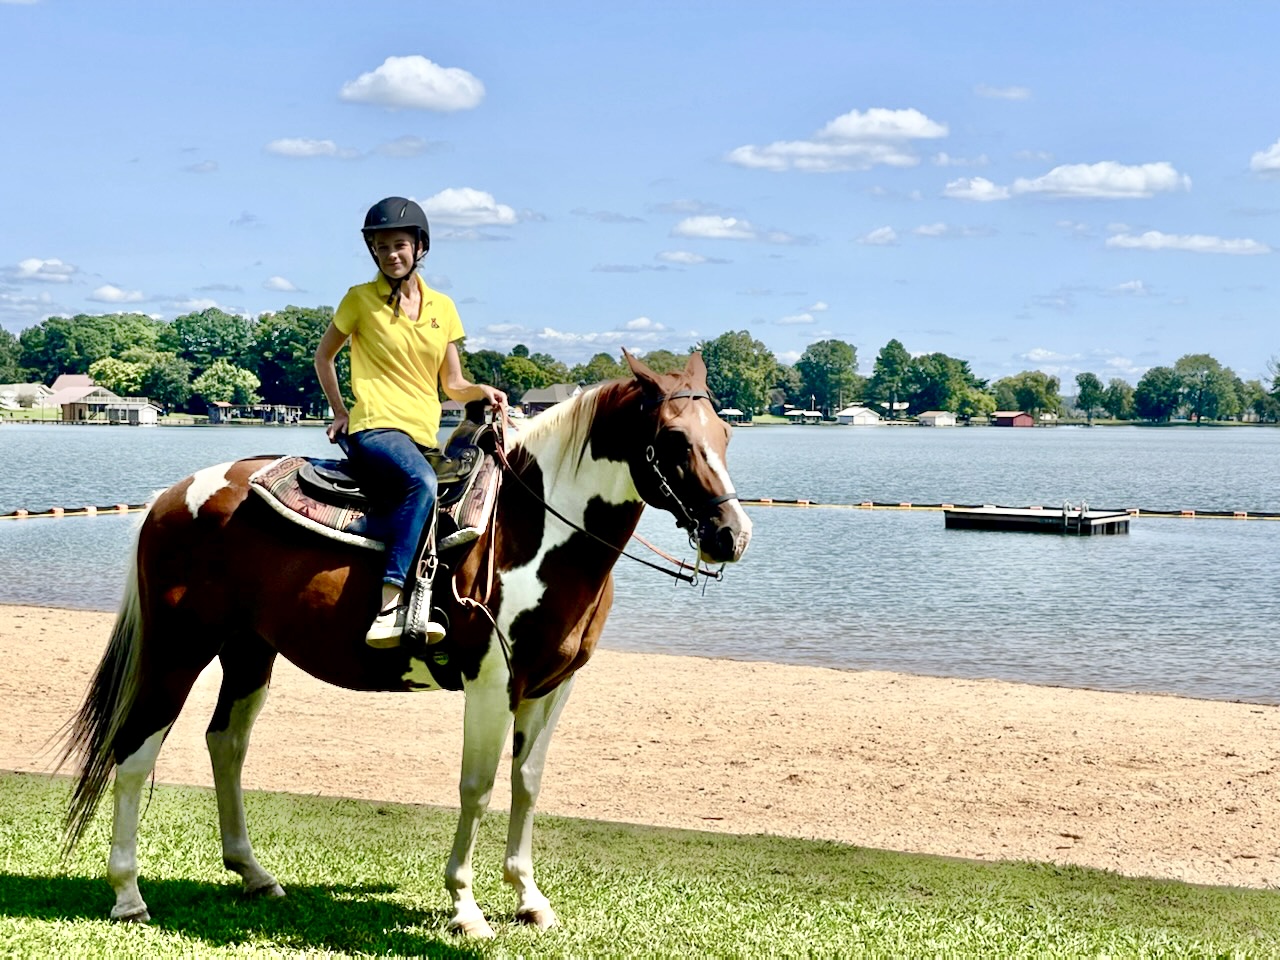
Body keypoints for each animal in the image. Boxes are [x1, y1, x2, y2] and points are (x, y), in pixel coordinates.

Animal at [59, 349, 752, 938]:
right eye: (674, 439)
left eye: (725, 434)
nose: (731, 535)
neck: (534, 530)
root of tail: (170, 498)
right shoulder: (492, 683)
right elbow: (478, 786)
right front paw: (467, 908)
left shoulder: (551, 687)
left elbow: (527, 782)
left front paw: (529, 899)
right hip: (178, 650)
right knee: (134, 751)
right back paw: (128, 895)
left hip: (249, 651)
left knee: (226, 744)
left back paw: (255, 875)